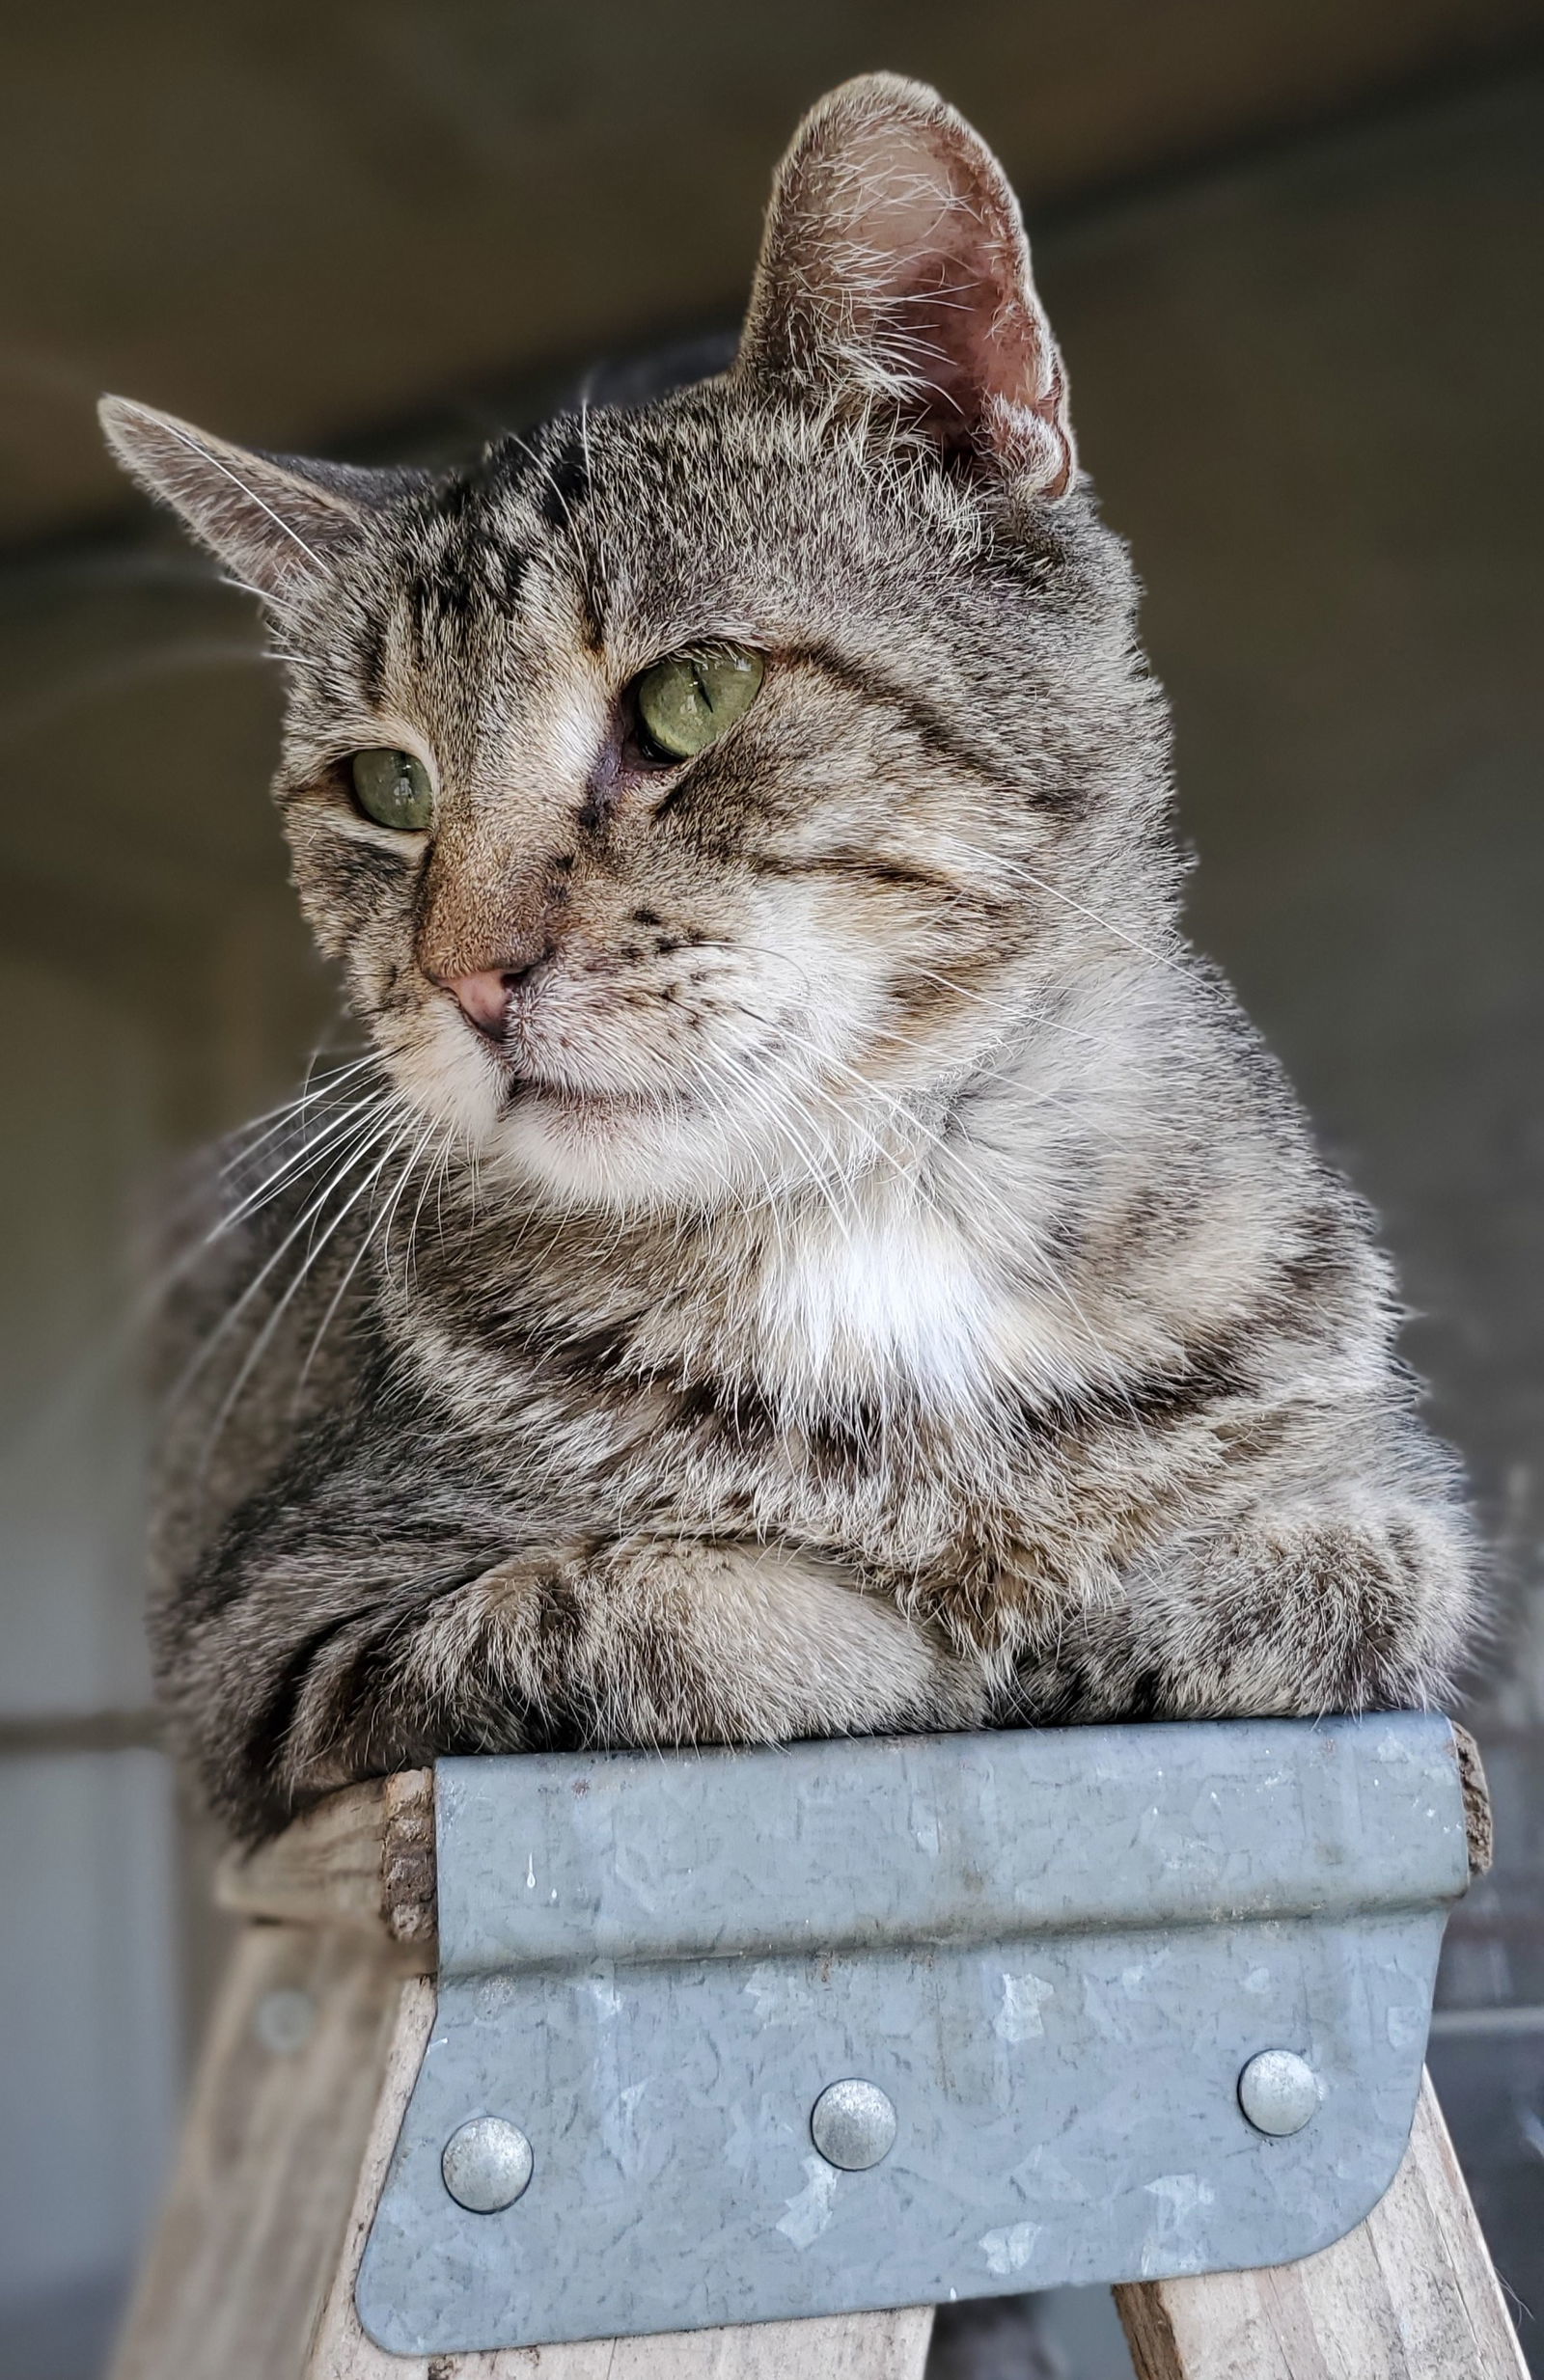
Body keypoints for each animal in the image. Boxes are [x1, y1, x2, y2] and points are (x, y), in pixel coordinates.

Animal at [96, 65, 1465, 1827]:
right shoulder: (266, 1646)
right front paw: (897, 1630)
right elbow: (634, 1607)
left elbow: (1354, 1566)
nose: (468, 976)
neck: (882, 1215)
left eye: (692, 695)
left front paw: (1094, 1607)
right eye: (386, 786)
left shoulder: (1388, 1503)